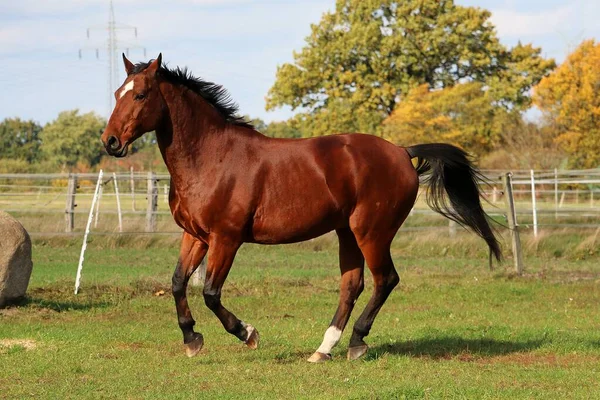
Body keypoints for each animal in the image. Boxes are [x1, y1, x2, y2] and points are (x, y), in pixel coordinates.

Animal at [101, 53, 500, 362]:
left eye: (140, 95)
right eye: (117, 94)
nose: (110, 142)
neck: (212, 157)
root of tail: (402, 152)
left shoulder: (226, 239)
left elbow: (211, 293)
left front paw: (248, 333)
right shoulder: (196, 236)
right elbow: (177, 283)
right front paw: (192, 340)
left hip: (372, 232)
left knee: (385, 280)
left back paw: (357, 343)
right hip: (347, 232)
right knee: (351, 285)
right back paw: (324, 349)